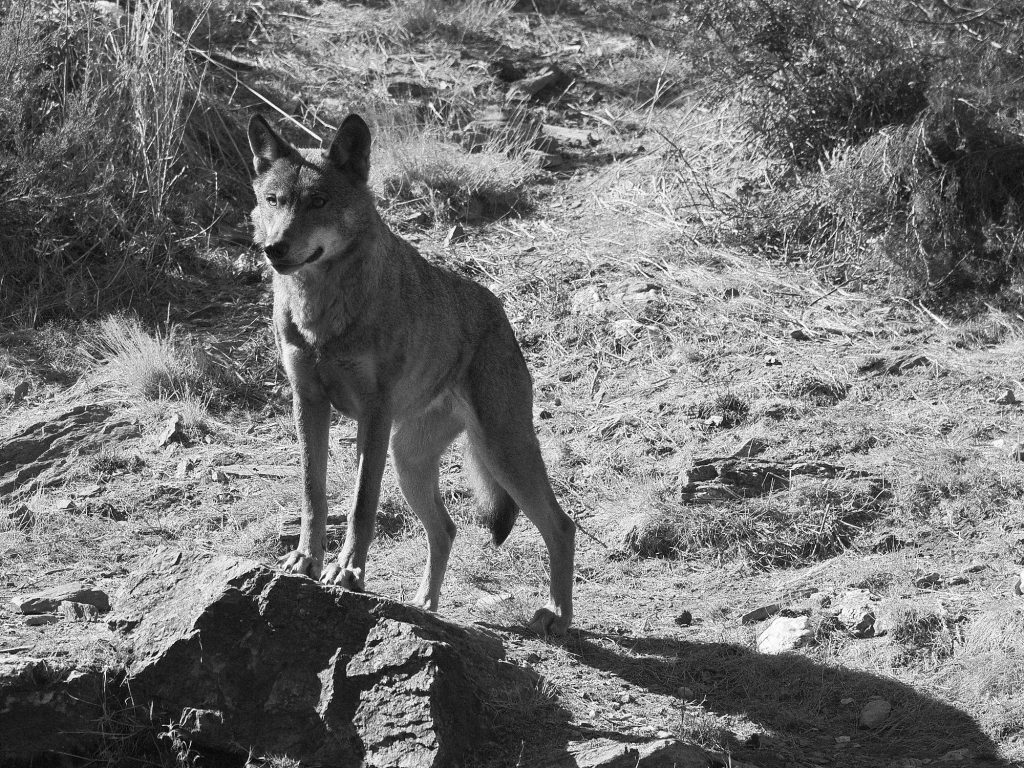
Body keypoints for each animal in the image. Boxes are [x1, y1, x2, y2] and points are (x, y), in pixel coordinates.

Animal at [247, 113, 575, 635]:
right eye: (273, 200)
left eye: (318, 202)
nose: (274, 249)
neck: (322, 313)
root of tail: (498, 310)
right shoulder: (308, 402)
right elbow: (313, 495)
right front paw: (305, 562)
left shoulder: (373, 416)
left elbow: (361, 506)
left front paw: (348, 572)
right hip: (410, 461)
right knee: (446, 529)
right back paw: (425, 604)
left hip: (502, 450)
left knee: (562, 526)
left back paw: (557, 617)